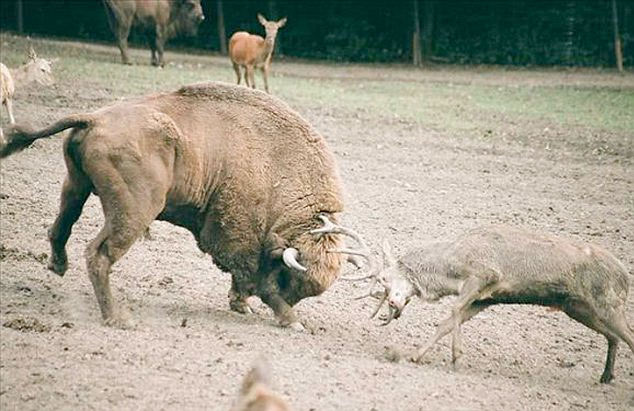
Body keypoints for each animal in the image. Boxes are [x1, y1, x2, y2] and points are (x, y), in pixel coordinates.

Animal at [0, 81, 346, 332]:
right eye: (291, 279)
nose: (292, 306)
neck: (279, 167)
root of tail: (95, 118)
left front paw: (243, 305)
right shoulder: (239, 236)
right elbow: (256, 278)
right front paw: (291, 321)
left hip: (76, 185)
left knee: (61, 226)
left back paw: (58, 266)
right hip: (133, 212)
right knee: (98, 254)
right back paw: (118, 318)